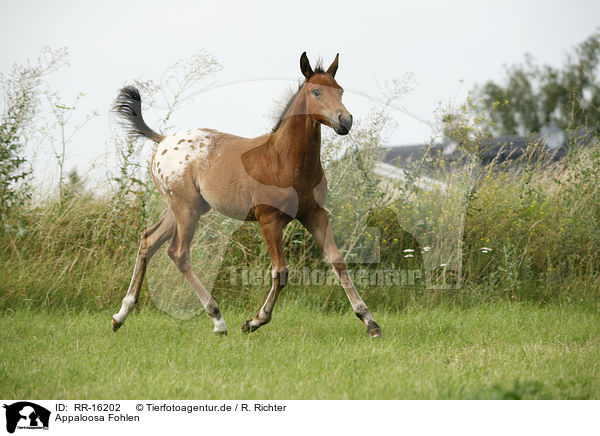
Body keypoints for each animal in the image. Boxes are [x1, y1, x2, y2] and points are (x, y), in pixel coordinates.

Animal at [112, 52, 382, 338]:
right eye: (316, 91)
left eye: (340, 90)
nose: (345, 120)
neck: (284, 160)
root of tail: (162, 140)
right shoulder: (269, 220)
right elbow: (280, 272)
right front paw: (254, 321)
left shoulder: (314, 214)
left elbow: (337, 261)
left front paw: (370, 321)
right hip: (186, 208)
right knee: (179, 253)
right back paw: (217, 319)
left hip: (184, 208)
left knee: (149, 240)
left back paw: (121, 315)